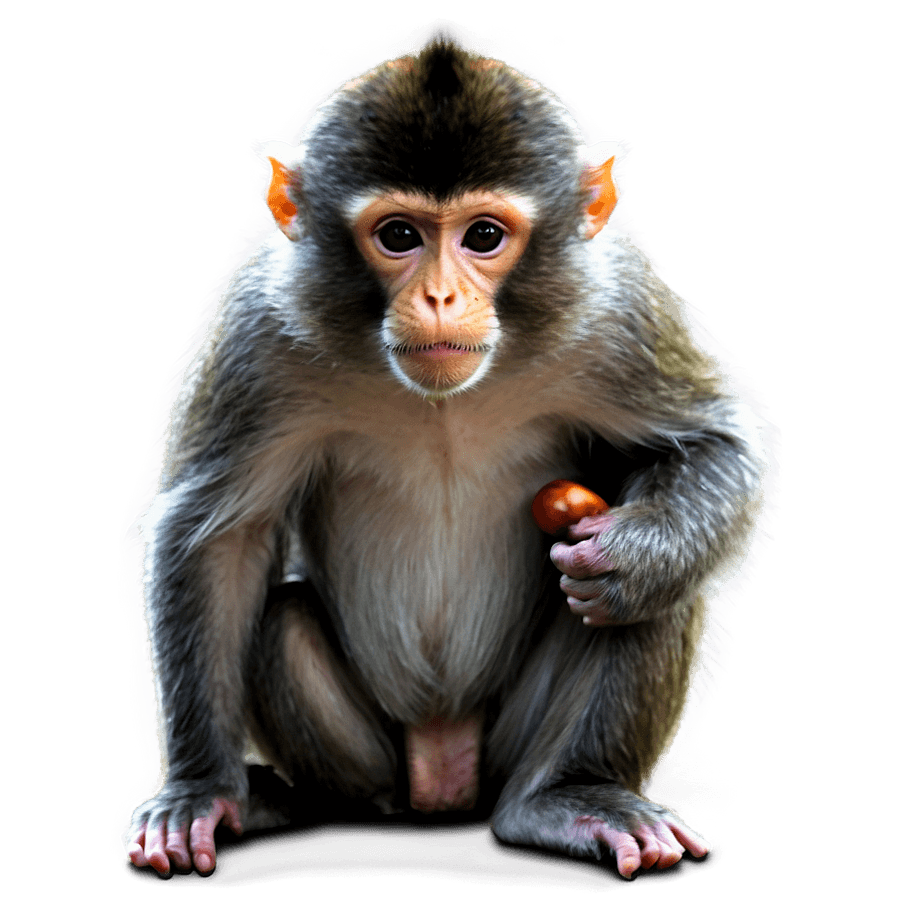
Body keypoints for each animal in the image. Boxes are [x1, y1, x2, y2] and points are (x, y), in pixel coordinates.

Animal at [120, 31, 779, 881]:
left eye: (484, 236)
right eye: (399, 236)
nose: (439, 298)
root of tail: (445, 764)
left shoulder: (618, 307)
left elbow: (713, 444)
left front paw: (637, 557)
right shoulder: (258, 329)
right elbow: (217, 540)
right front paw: (199, 791)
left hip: (510, 745)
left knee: (655, 601)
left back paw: (575, 795)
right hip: (375, 755)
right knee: (281, 619)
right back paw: (301, 798)